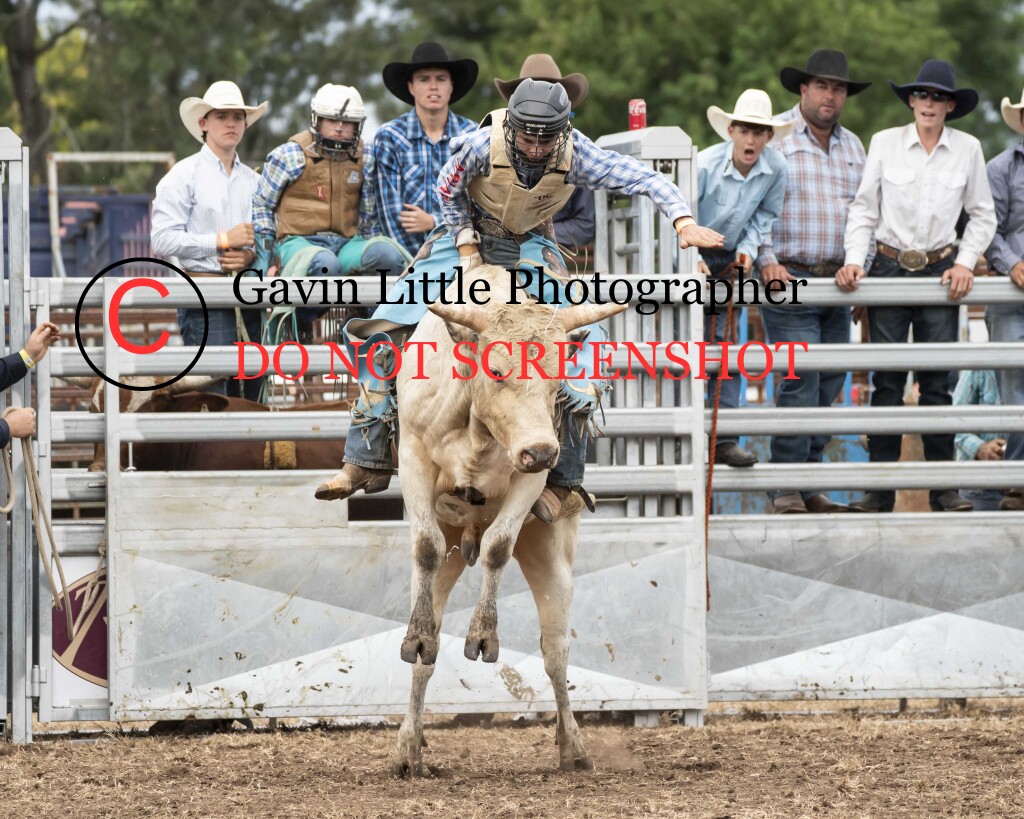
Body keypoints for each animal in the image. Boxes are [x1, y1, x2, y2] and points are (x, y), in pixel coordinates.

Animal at [389, 263, 626, 776]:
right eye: (497, 370)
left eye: (558, 376)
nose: (542, 451)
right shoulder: (413, 456)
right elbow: (425, 546)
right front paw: (418, 637)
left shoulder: (528, 482)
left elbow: (499, 545)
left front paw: (483, 636)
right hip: (449, 556)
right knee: (426, 648)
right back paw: (408, 748)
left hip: (550, 554)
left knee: (555, 653)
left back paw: (573, 747)